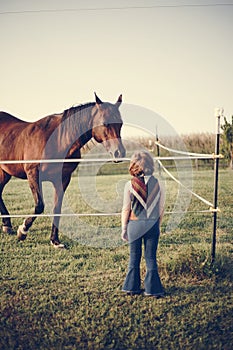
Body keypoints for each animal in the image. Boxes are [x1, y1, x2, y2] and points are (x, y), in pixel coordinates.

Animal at [0, 93, 125, 246]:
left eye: (121, 124)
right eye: (105, 123)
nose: (119, 152)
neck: (58, 140)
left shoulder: (63, 179)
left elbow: (57, 208)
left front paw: (55, 240)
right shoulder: (33, 174)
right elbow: (39, 205)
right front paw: (22, 231)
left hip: (4, 173)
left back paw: (7, 225)